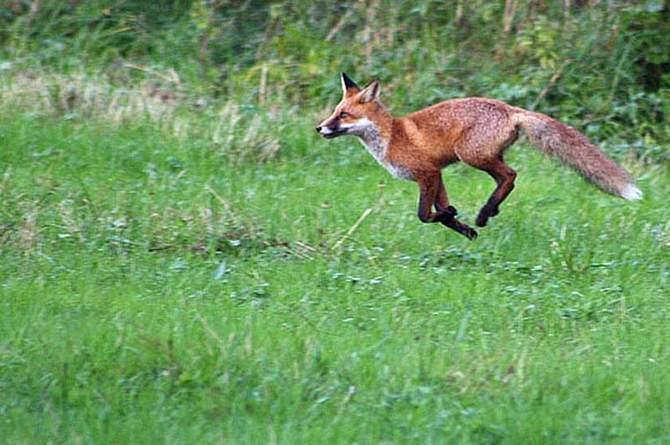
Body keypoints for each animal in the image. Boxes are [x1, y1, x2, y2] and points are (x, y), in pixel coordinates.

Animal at [318, 73, 644, 239]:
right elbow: (442, 212)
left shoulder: (427, 172)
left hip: (471, 155)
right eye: (335, 111)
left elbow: (424, 215)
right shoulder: (438, 175)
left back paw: (486, 212)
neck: (391, 136)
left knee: (511, 176)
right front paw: (464, 229)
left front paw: (457, 218)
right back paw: (490, 212)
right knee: (506, 178)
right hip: (480, 157)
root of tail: (510, 108)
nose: (319, 128)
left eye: (344, 115)